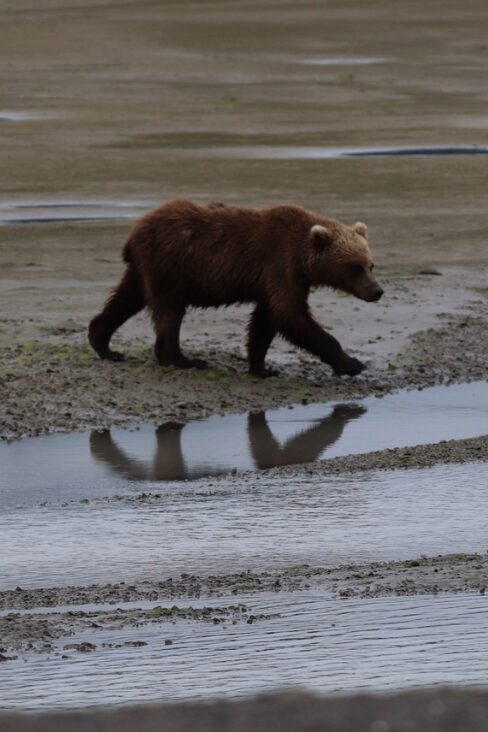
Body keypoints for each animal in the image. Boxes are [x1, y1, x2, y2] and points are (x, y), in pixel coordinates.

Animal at [88, 199, 383, 377]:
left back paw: (105, 345)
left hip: (145, 268)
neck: (303, 258)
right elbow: (290, 315)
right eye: (355, 267)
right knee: (169, 311)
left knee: (127, 298)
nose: (377, 291)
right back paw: (182, 359)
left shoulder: (276, 280)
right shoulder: (280, 263)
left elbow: (266, 320)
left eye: (371, 264)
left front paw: (261, 367)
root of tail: (135, 229)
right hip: (170, 265)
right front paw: (352, 363)